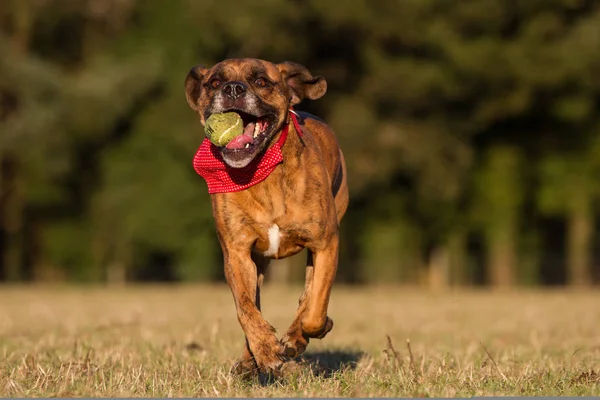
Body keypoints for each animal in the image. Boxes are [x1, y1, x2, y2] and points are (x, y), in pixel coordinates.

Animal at [185, 57, 350, 374]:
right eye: (215, 82)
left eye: (261, 81)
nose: (232, 88)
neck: (262, 171)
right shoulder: (237, 254)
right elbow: (245, 308)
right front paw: (265, 349)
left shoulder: (326, 244)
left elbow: (315, 308)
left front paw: (305, 333)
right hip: (257, 263)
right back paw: (250, 359)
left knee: (309, 292)